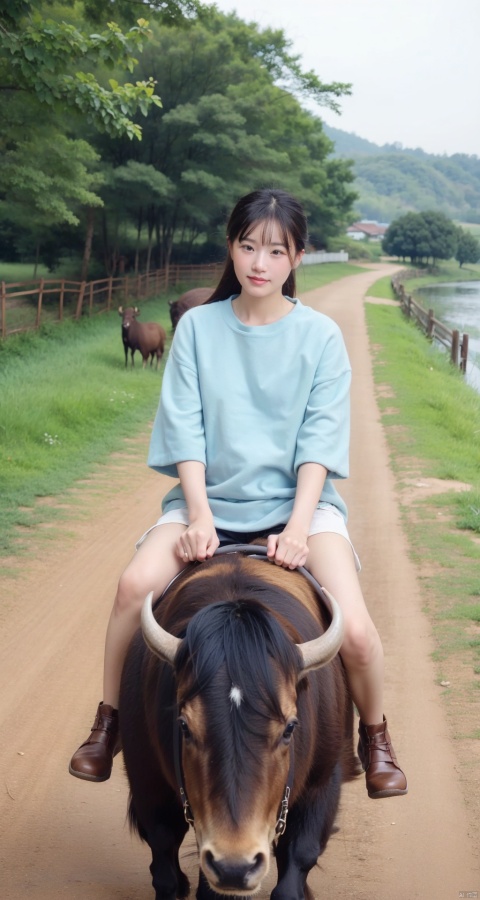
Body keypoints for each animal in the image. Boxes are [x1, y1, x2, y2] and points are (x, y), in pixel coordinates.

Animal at [118, 540, 354, 900]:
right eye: (184, 726)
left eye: (290, 729)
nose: (235, 867)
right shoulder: (146, 780)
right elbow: (164, 860)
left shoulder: (323, 782)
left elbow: (300, 858)